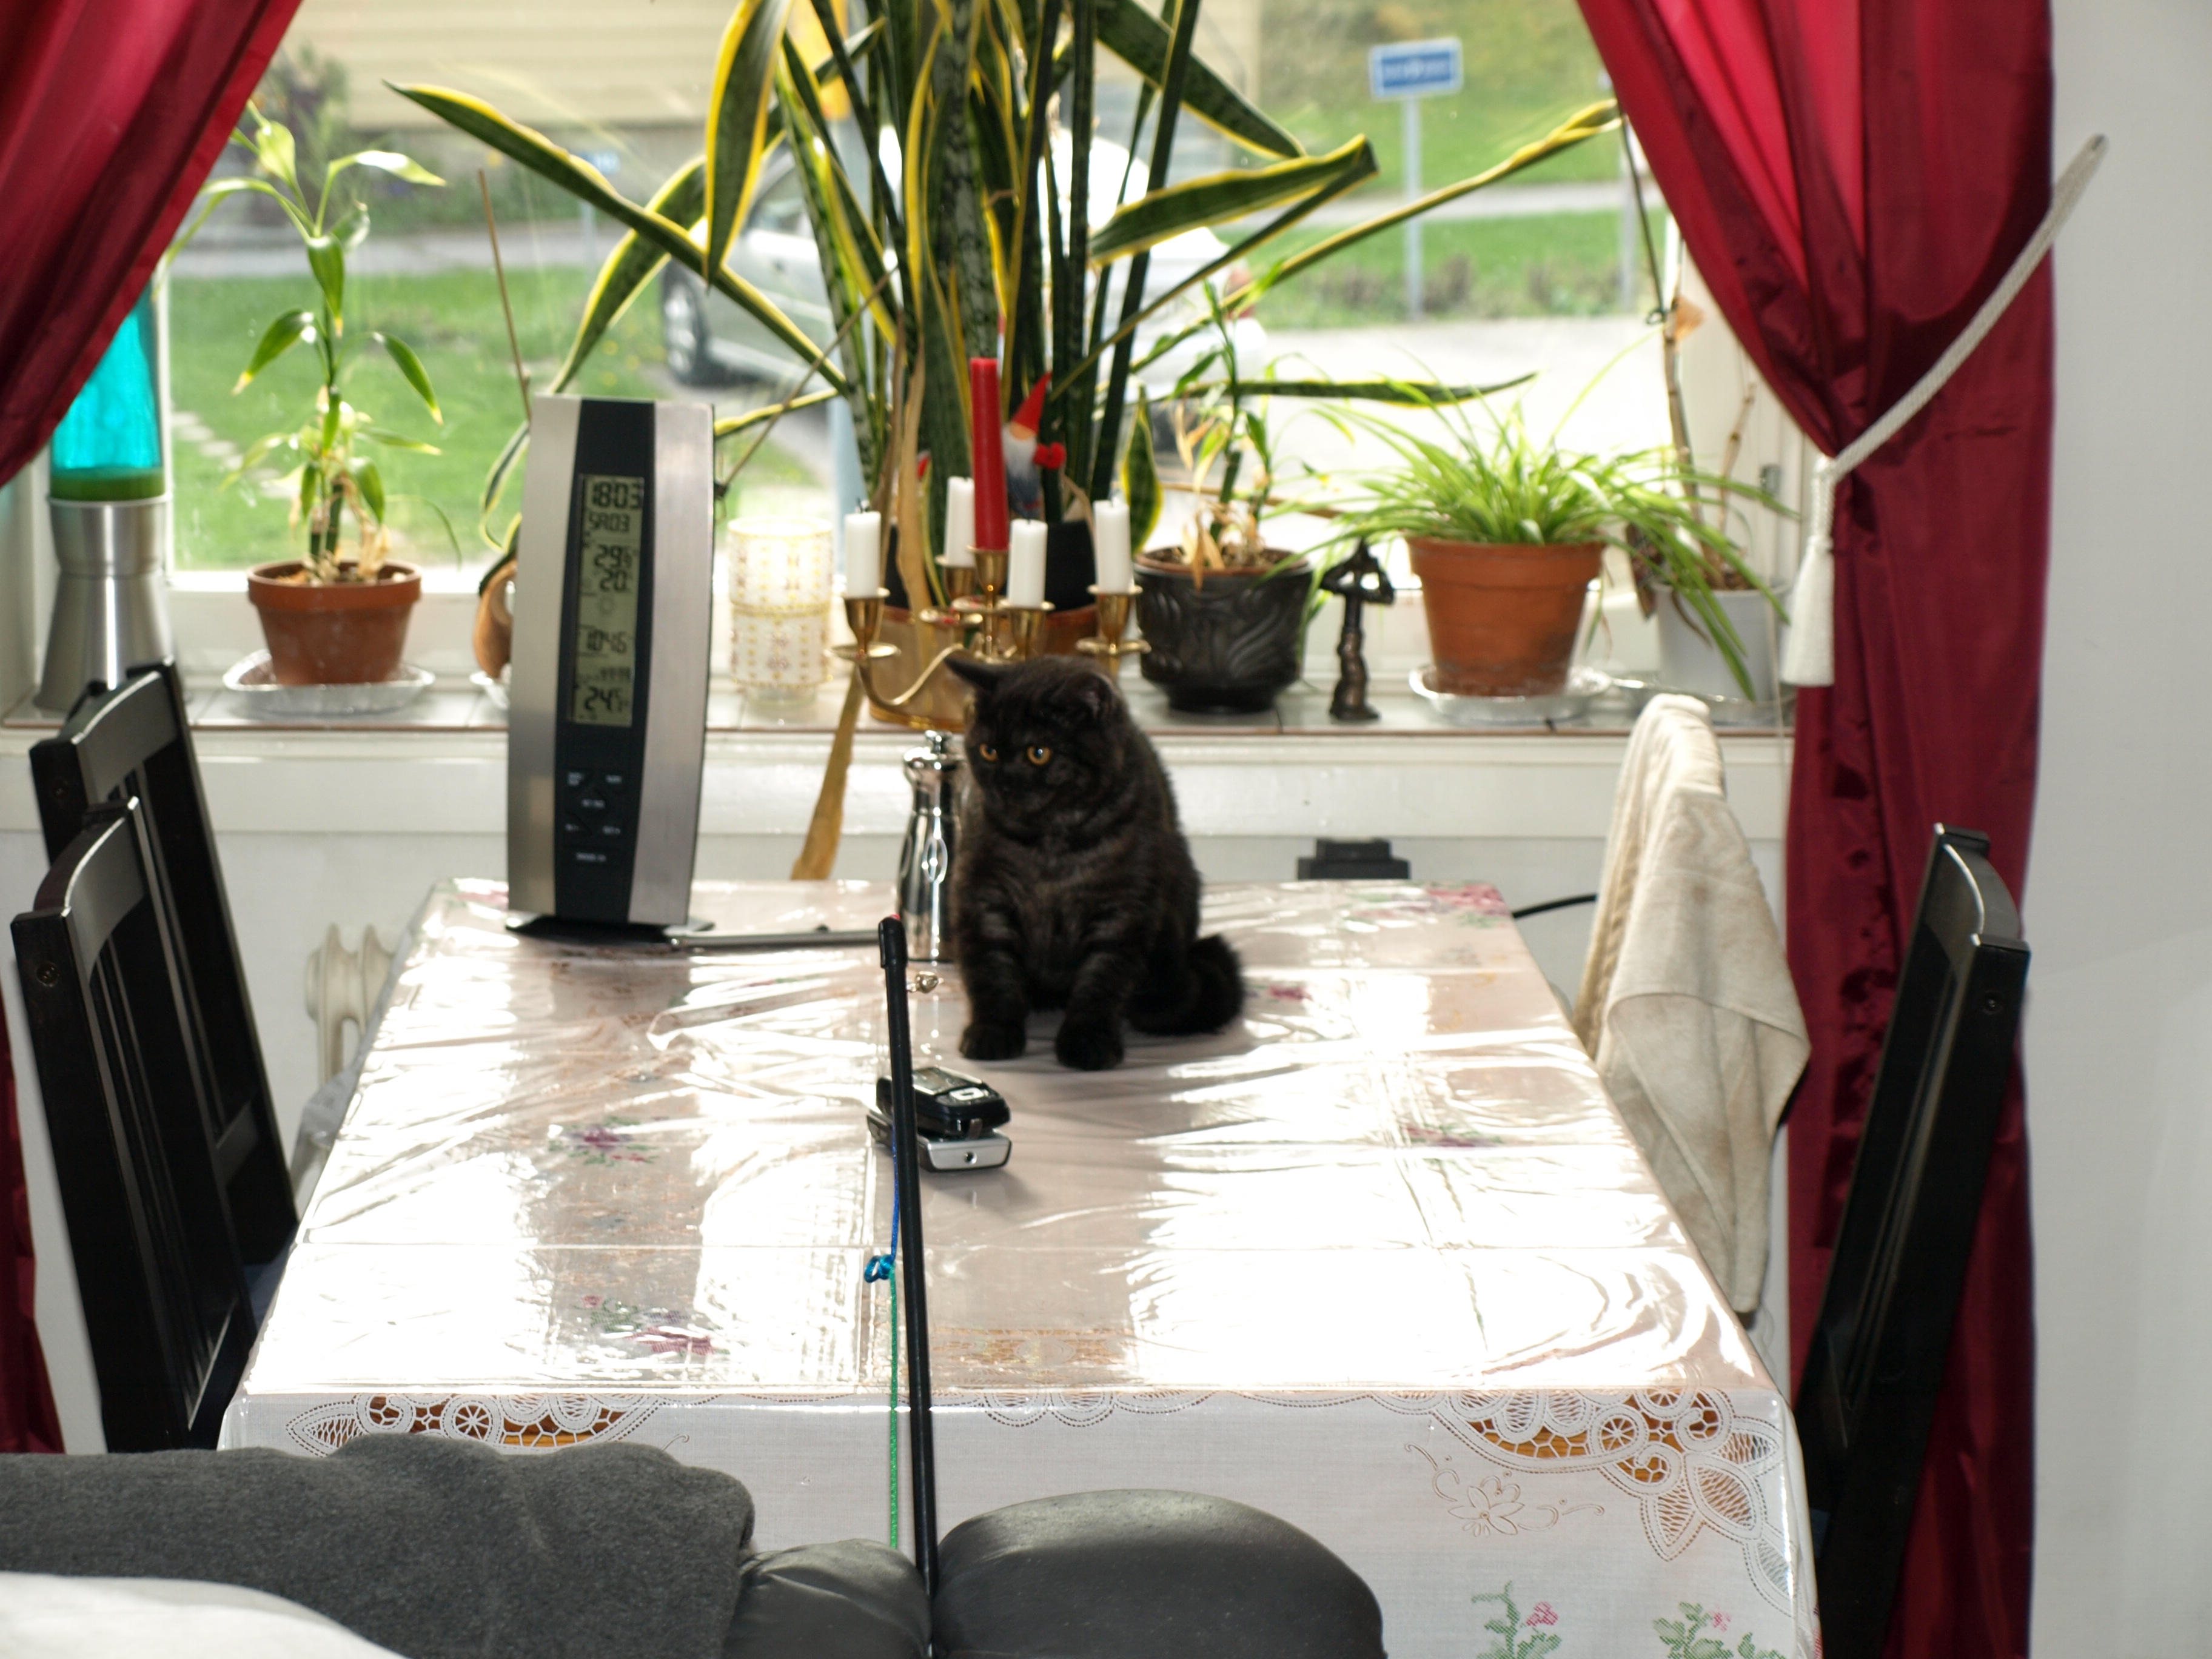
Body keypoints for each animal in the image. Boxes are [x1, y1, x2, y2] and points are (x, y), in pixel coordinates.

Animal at [947, 655, 1244, 1071]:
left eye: (1039, 753)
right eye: (988, 751)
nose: (1002, 784)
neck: (1051, 843)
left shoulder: (1122, 909)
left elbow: (1102, 979)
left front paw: (1088, 1040)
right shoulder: (984, 895)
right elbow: (992, 969)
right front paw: (993, 1031)